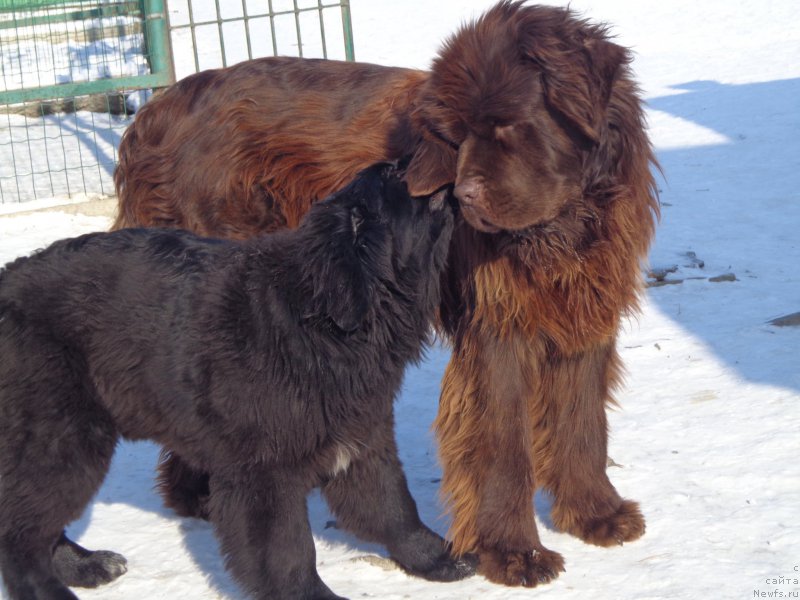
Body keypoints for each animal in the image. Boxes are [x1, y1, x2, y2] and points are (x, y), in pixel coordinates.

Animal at [0, 164, 468, 600]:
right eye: (396, 174)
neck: (321, 322)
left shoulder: (363, 437)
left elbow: (394, 507)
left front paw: (437, 558)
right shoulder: (263, 470)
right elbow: (287, 550)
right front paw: (309, 594)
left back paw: (85, 566)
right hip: (62, 438)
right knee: (21, 531)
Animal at [108, 0, 656, 588]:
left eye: (507, 126)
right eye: (455, 138)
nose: (463, 196)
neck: (567, 226)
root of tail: (155, 110)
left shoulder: (585, 315)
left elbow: (582, 422)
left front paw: (596, 515)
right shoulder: (497, 332)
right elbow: (502, 444)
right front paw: (513, 553)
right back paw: (197, 494)